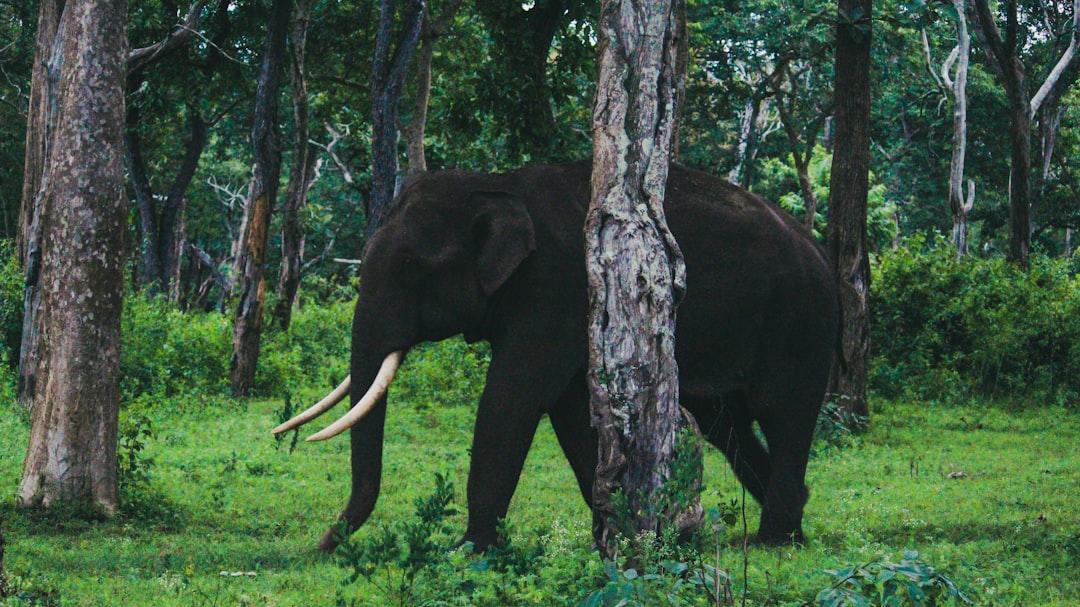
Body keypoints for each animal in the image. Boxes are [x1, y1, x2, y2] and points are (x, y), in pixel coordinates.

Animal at [274, 160, 840, 552]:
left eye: (413, 266)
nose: (323, 545)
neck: (497, 184)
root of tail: (821, 252)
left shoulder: (556, 286)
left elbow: (514, 397)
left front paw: (469, 552)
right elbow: (569, 409)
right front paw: (618, 537)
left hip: (801, 323)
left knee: (786, 415)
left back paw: (774, 540)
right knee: (728, 423)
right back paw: (784, 519)